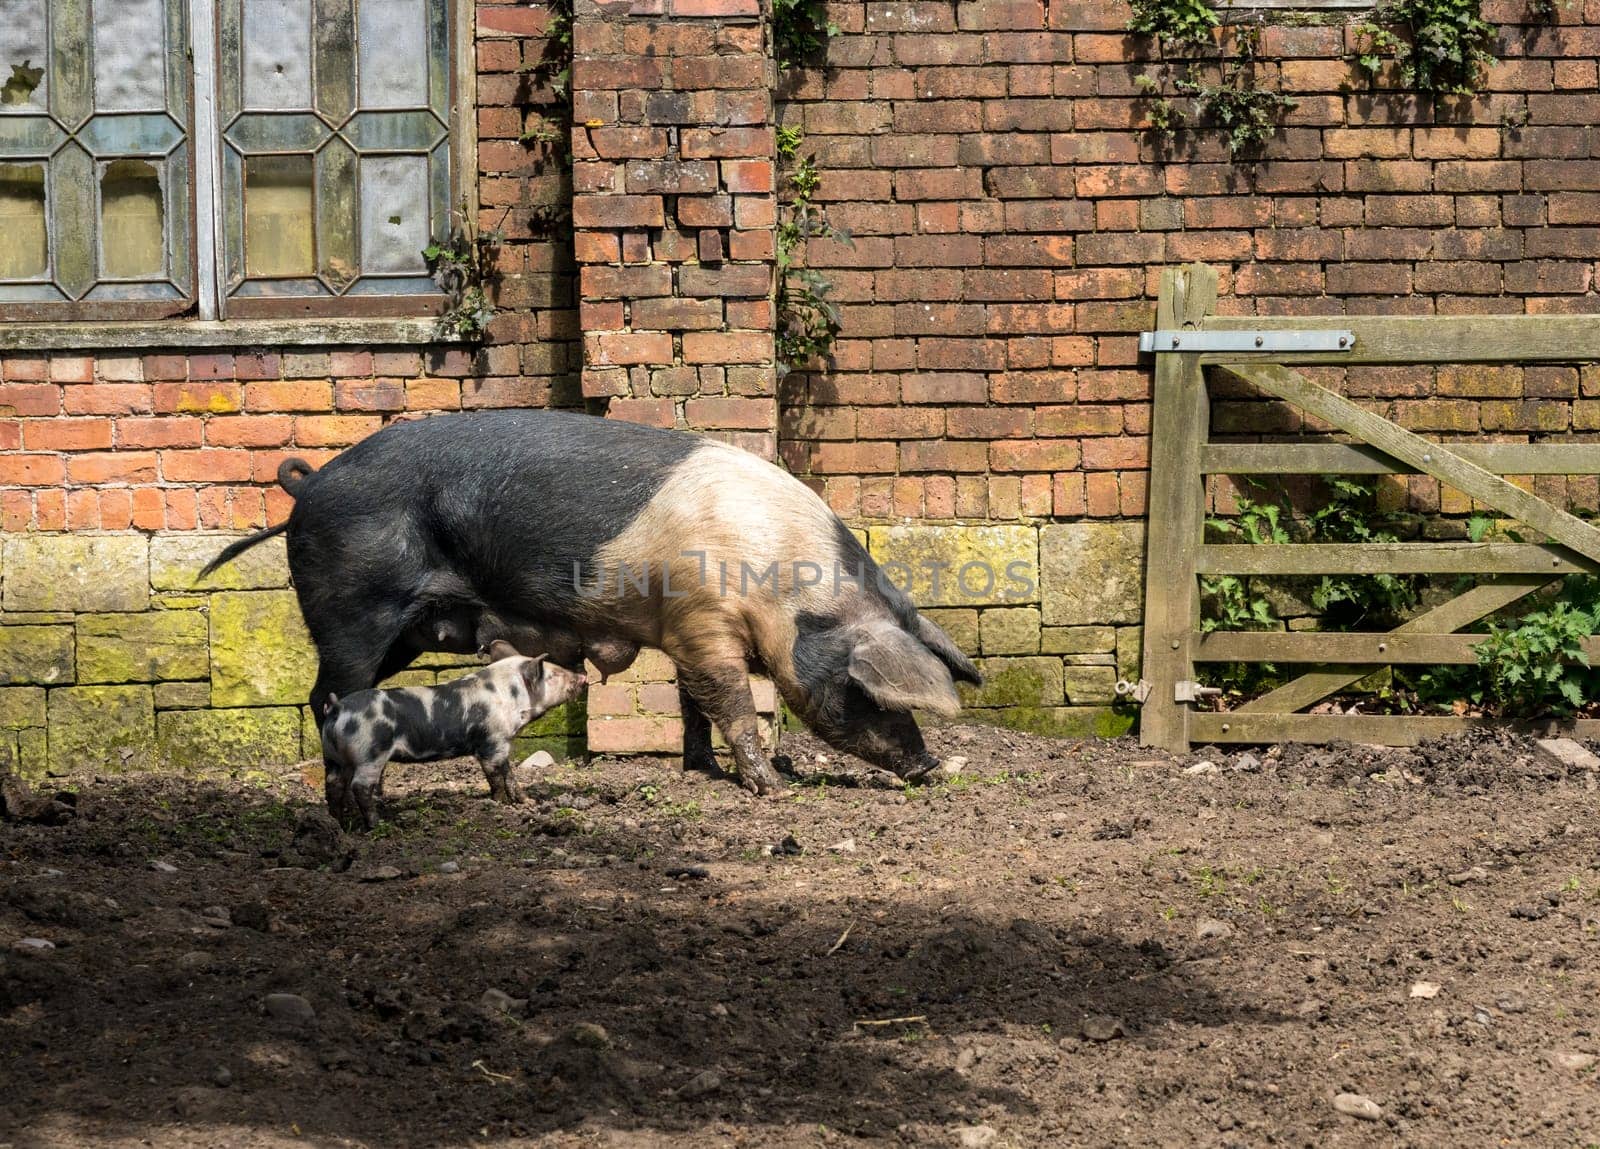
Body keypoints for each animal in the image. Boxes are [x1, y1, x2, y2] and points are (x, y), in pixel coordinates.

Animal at [200, 409, 972, 796]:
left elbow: (693, 706)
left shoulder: (684, 630)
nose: (930, 766)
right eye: (869, 692)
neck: (782, 585)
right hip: (354, 610)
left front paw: (701, 772)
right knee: (328, 693)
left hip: (400, 632)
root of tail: (308, 486)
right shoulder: (705, 622)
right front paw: (767, 789)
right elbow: (729, 702)